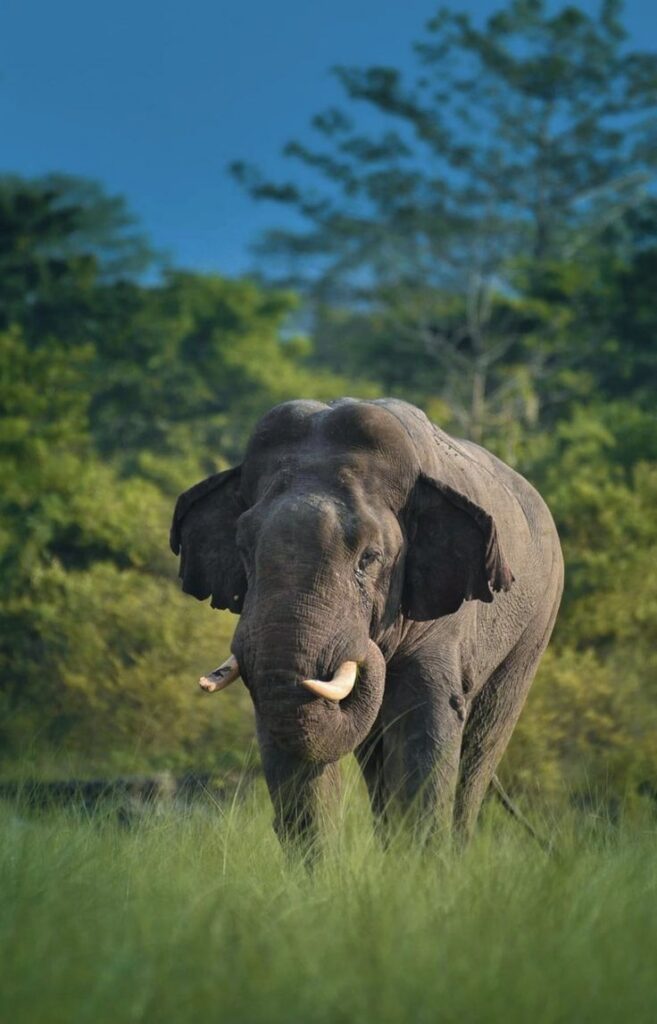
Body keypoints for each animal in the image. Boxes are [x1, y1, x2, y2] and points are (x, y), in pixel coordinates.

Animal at [170, 398, 564, 846]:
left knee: (483, 743)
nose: (368, 645)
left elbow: (425, 714)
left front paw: (420, 860)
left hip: (536, 623)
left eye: (369, 558)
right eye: (243, 550)